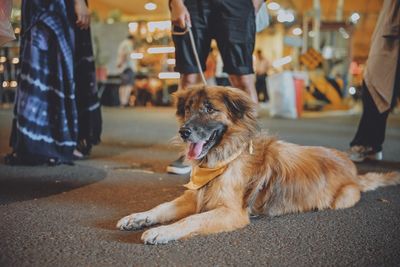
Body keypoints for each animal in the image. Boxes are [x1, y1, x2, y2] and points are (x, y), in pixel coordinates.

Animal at [116, 86, 400, 245]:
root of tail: (353, 169)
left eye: (209, 109)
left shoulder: (231, 212)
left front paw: (162, 232)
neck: (226, 157)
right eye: (188, 109)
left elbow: (191, 220)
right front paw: (137, 218)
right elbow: (161, 207)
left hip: (342, 199)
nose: (184, 132)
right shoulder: (195, 196)